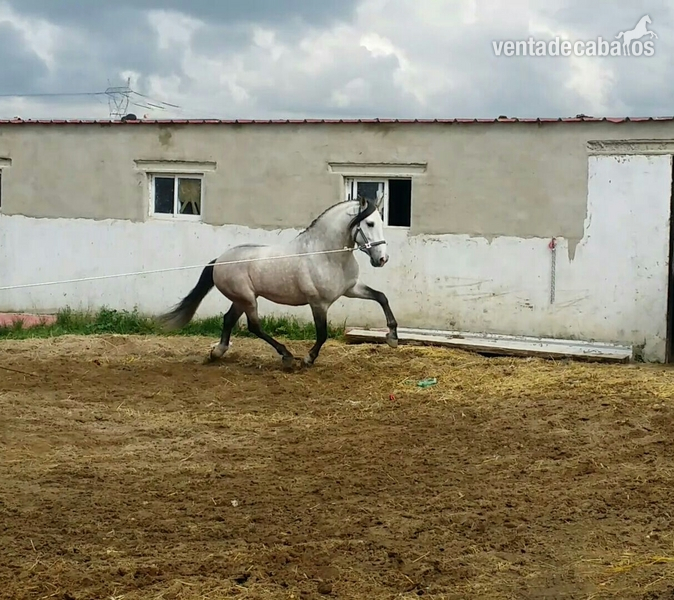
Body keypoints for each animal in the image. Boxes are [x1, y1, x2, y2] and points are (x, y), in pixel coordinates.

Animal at [157, 192, 399, 368]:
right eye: (369, 223)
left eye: (381, 222)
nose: (382, 259)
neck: (326, 254)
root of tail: (219, 261)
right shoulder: (318, 303)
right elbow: (322, 334)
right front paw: (308, 358)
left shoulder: (351, 288)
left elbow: (381, 297)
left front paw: (393, 337)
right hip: (247, 299)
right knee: (254, 326)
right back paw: (286, 356)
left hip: (241, 299)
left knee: (228, 319)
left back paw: (217, 352)